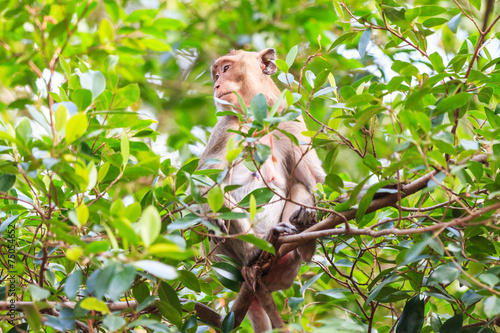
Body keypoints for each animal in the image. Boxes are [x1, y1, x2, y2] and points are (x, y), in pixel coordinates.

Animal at [197, 48, 326, 330]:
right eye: (216, 74)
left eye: (225, 69)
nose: (216, 85)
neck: (257, 117)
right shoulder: (225, 127)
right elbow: (207, 186)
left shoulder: (289, 119)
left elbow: (314, 179)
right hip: (223, 263)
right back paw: (253, 254)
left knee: (298, 186)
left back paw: (304, 240)